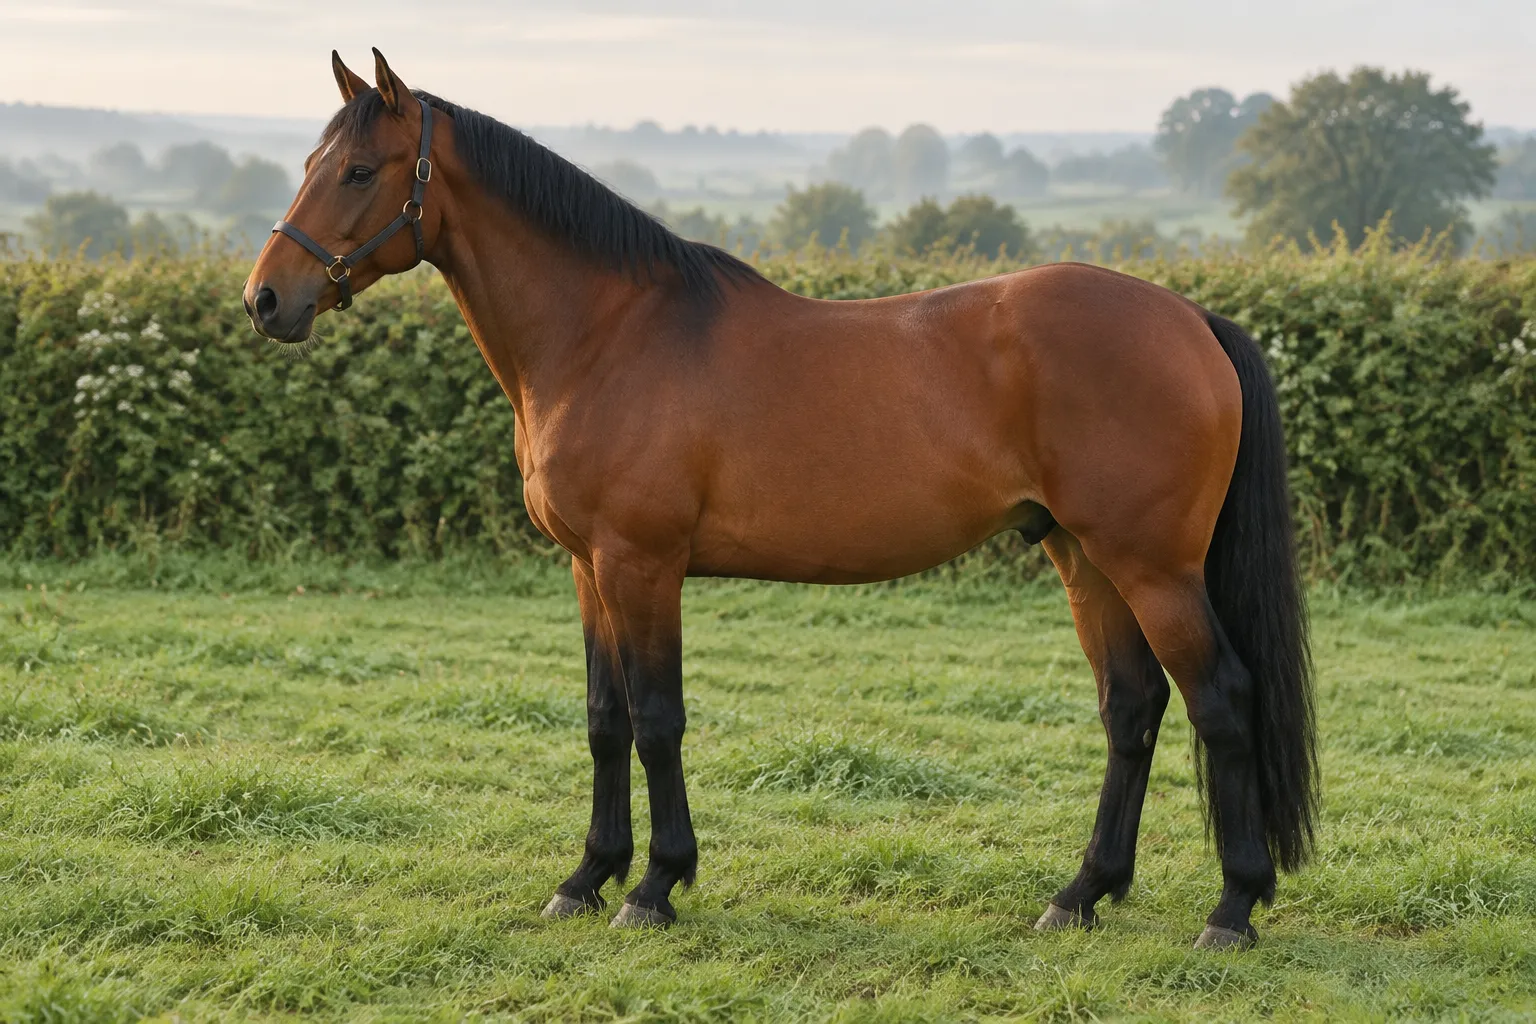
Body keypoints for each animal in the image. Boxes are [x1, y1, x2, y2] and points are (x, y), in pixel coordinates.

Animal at [243, 49, 1317, 949]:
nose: (265, 299)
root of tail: (1191, 318)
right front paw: (586, 877)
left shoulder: (643, 564)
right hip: (1085, 557)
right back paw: (1082, 893)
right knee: (1132, 709)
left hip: (1153, 567)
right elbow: (603, 719)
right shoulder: (590, 568)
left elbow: (657, 718)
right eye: (312, 160)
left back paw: (1232, 908)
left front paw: (654, 886)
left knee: (1221, 701)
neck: (608, 333)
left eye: (359, 171)